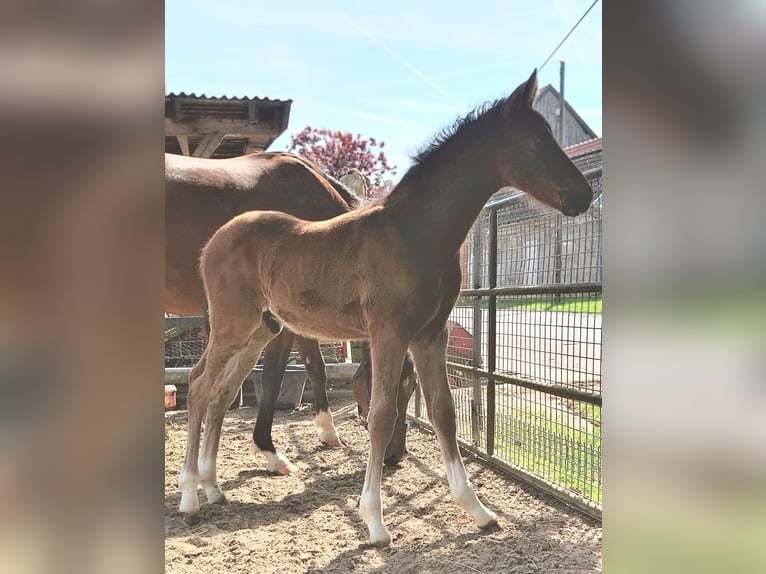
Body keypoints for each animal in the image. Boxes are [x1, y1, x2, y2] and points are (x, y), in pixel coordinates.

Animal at [164, 151, 414, 474]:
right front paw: (269, 450)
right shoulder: (283, 320)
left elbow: (315, 367)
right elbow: (273, 377)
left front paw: (327, 431)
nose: (395, 456)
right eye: (404, 383)